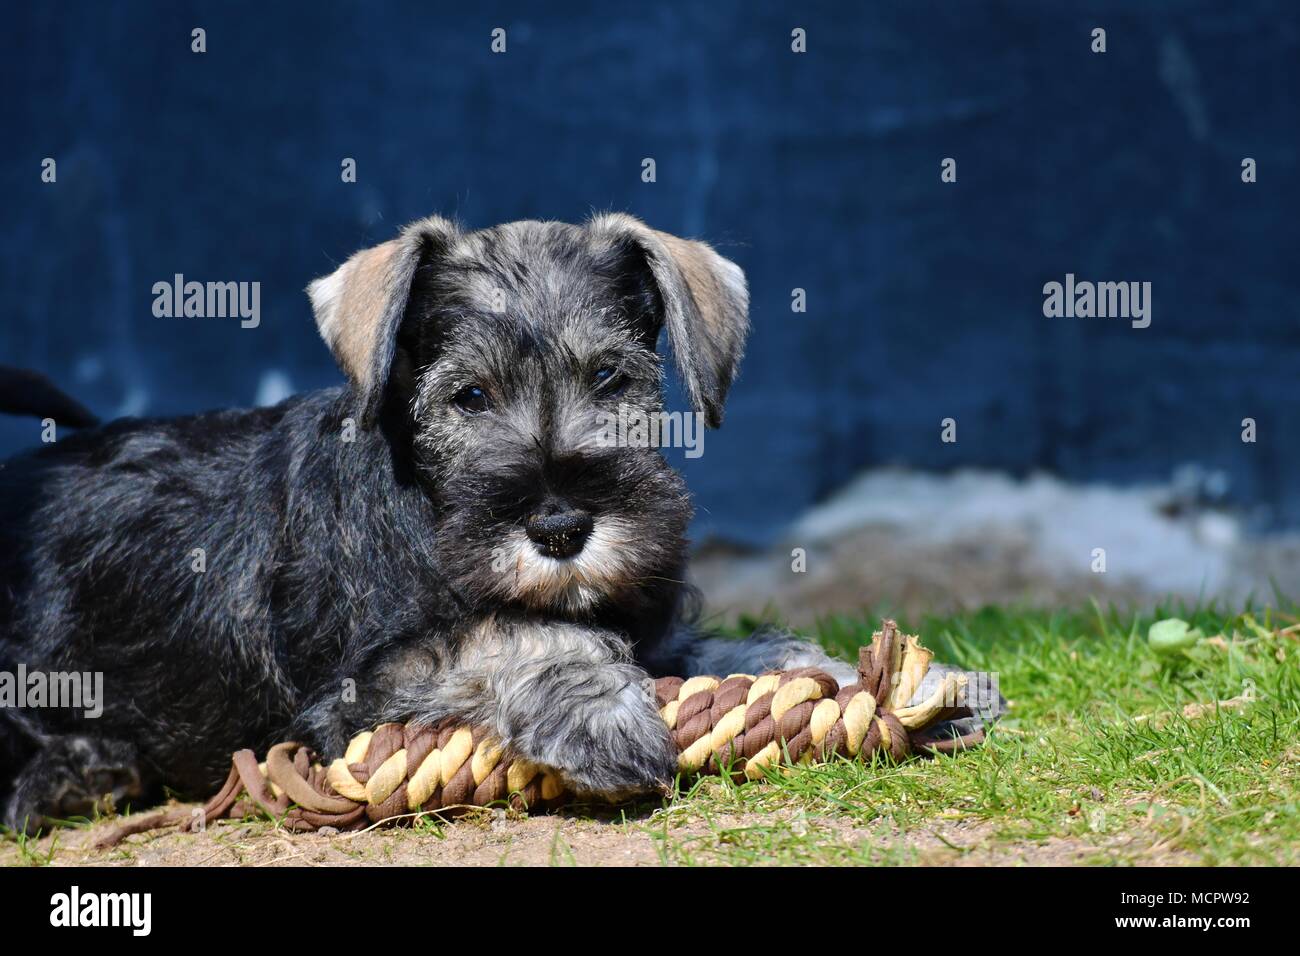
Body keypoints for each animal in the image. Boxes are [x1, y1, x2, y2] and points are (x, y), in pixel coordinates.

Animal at [2, 213, 946, 832]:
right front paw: (599, 708)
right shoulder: (347, 701)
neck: (427, 508)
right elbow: (505, 633)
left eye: (610, 377)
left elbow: (722, 649)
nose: (561, 526)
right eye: (469, 395)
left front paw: (851, 677)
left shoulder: (653, 625)